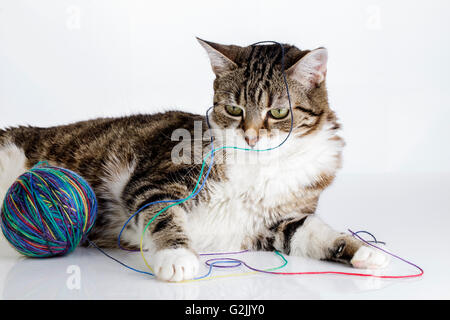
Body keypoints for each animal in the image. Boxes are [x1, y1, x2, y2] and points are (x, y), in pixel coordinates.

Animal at [0, 38, 388, 282]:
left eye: (278, 112)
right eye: (234, 109)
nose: (251, 136)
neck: (259, 167)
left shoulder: (279, 221)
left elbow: (316, 233)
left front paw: (365, 252)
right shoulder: (154, 181)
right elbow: (163, 215)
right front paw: (177, 258)